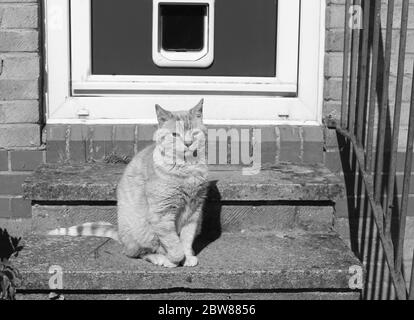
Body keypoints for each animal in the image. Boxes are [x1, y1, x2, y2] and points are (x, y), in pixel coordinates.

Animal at [48, 100, 209, 268]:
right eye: (175, 135)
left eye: (194, 133)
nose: (188, 143)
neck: (187, 169)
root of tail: (120, 233)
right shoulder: (161, 214)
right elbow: (173, 244)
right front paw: (174, 260)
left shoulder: (194, 212)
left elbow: (186, 239)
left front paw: (188, 257)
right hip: (141, 230)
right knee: (137, 252)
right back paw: (159, 258)